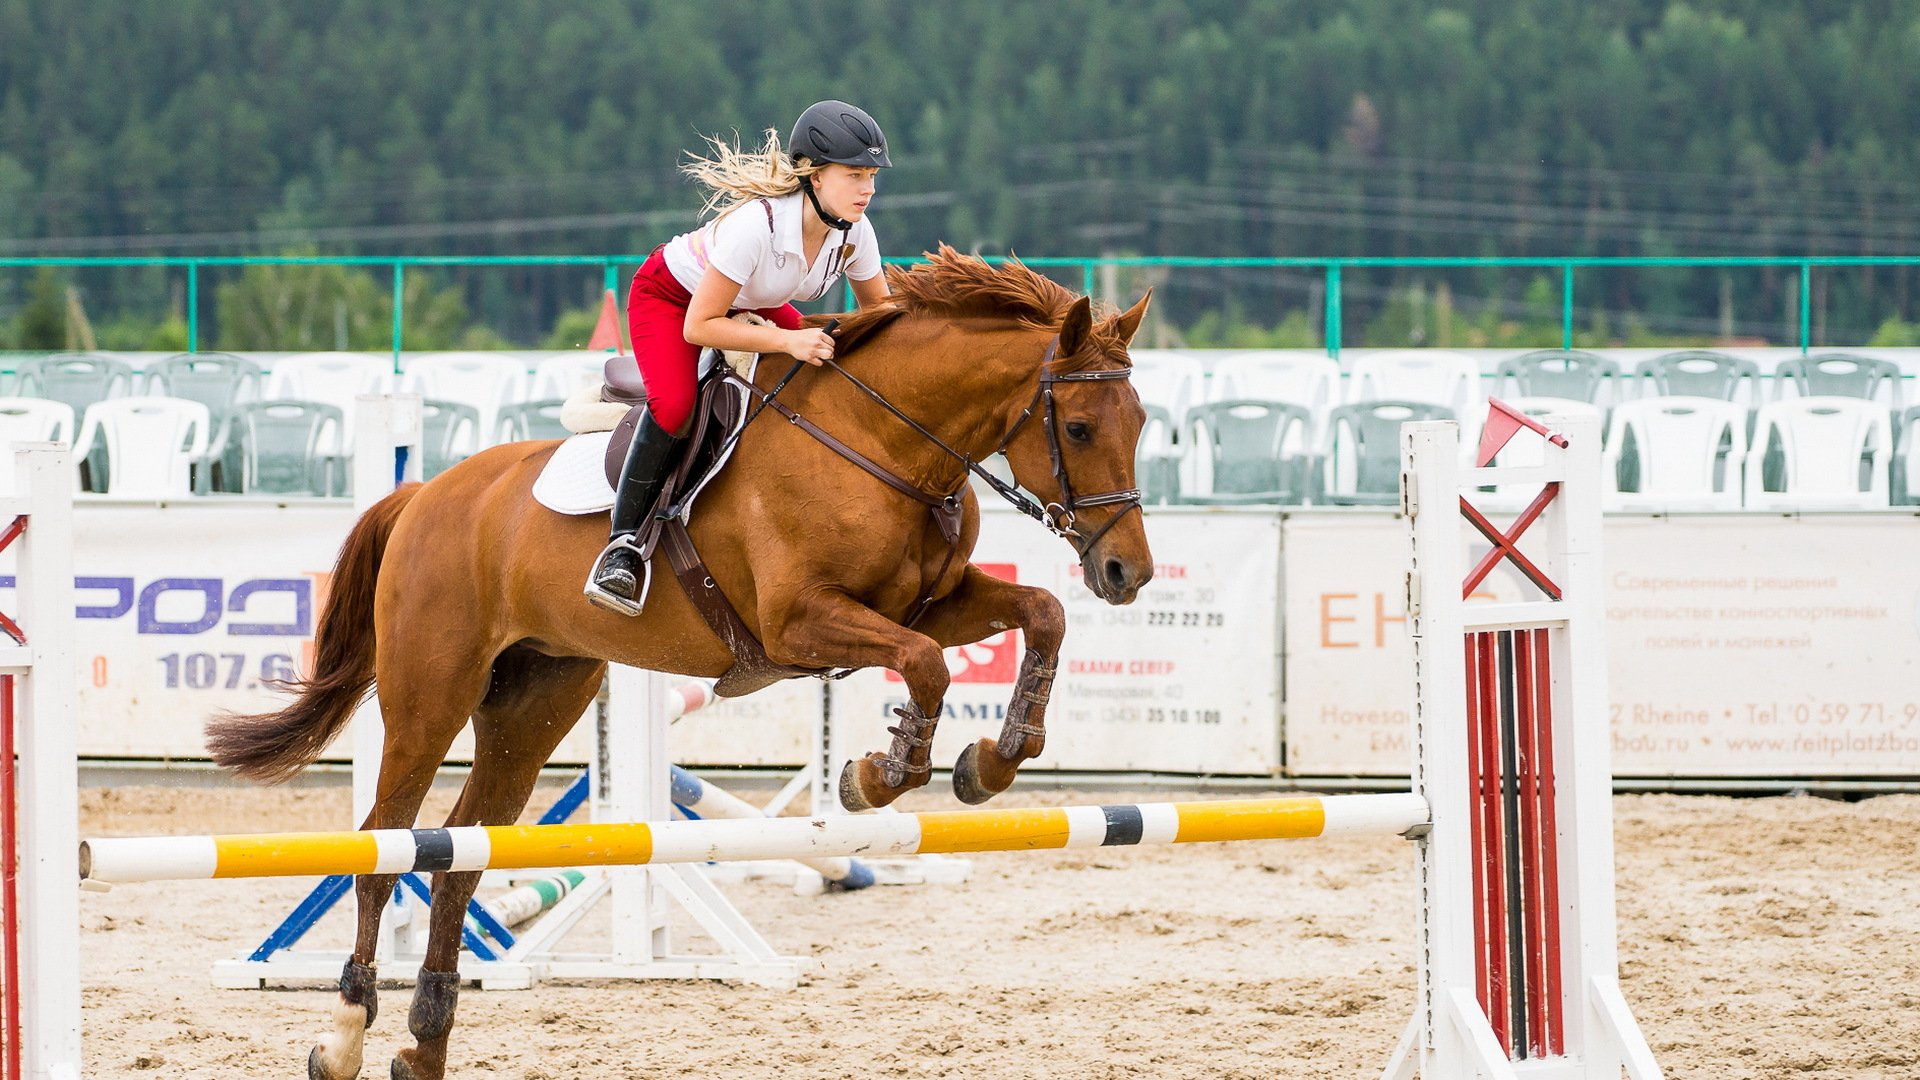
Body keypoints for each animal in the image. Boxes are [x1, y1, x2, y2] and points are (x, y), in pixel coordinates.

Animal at [206, 247, 1152, 1076]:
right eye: (1076, 426)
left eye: (1140, 424)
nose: (1128, 572)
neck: (883, 441)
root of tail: (422, 494)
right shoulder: (802, 623)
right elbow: (926, 666)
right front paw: (878, 777)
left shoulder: (929, 603)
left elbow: (1040, 615)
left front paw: (996, 758)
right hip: (429, 695)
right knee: (387, 844)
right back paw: (343, 1038)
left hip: (534, 702)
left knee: (460, 852)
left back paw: (425, 1047)